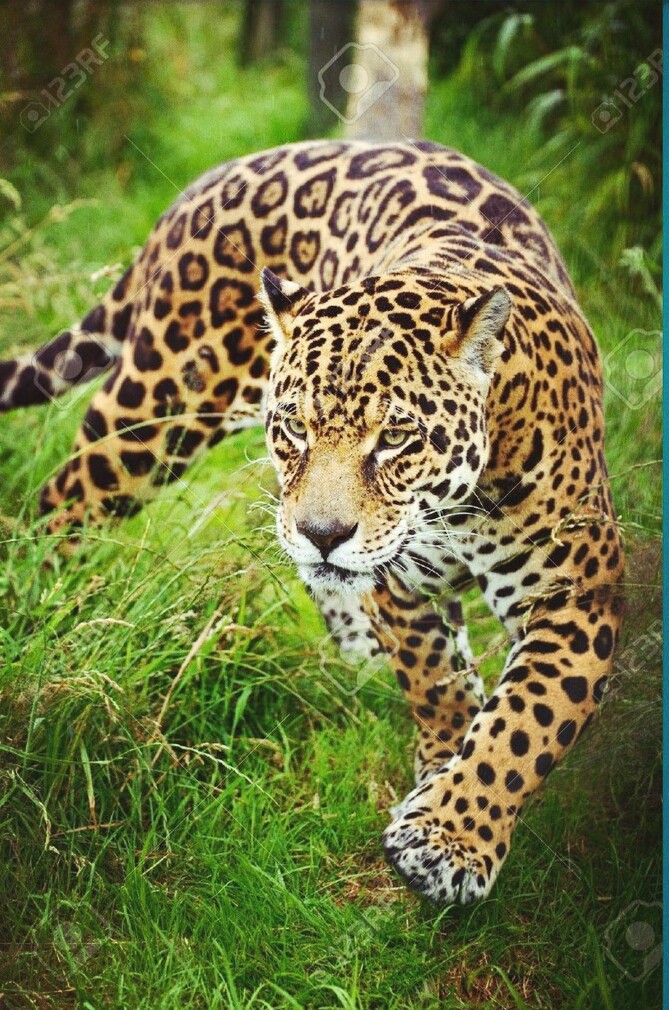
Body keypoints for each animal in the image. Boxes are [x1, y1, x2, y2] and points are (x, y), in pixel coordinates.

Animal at [0, 140, 624, 905]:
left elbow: (526, 722)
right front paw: (439, 790)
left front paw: (449, 835)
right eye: (295, 425)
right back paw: (44, 610)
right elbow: (435, 681)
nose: (325, 535)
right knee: (63, 499)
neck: (456, 505)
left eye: (396, 437)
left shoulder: (577, 592)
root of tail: (207, 183)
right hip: (152, 413)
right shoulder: (399, 580)